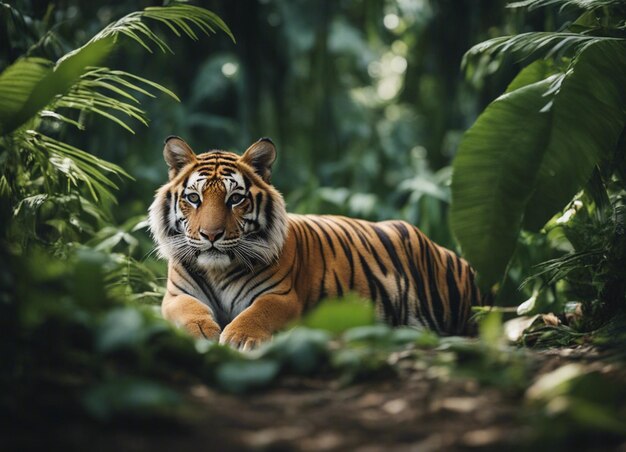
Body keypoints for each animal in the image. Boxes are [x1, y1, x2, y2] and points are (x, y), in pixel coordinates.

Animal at [147, 135, 482, 350]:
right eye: (194, 198)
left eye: (235, 199)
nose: (211, 235)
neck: (218, 270)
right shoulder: (176, 295)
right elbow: (189, 309)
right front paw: (201, 330)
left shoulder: (281, 295)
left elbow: (257, 313)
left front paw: (239, 337)